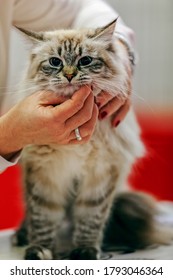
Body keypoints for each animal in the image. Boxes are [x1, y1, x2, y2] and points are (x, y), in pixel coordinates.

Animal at [14, 19, 172, 260]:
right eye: (55, 62)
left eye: (85, 61)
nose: (69, 75)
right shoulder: (46, 174)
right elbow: (43, 219)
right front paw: (39, 250)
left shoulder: (101, 174)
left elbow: (90, 219)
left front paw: (84, 252)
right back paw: (22, 235)